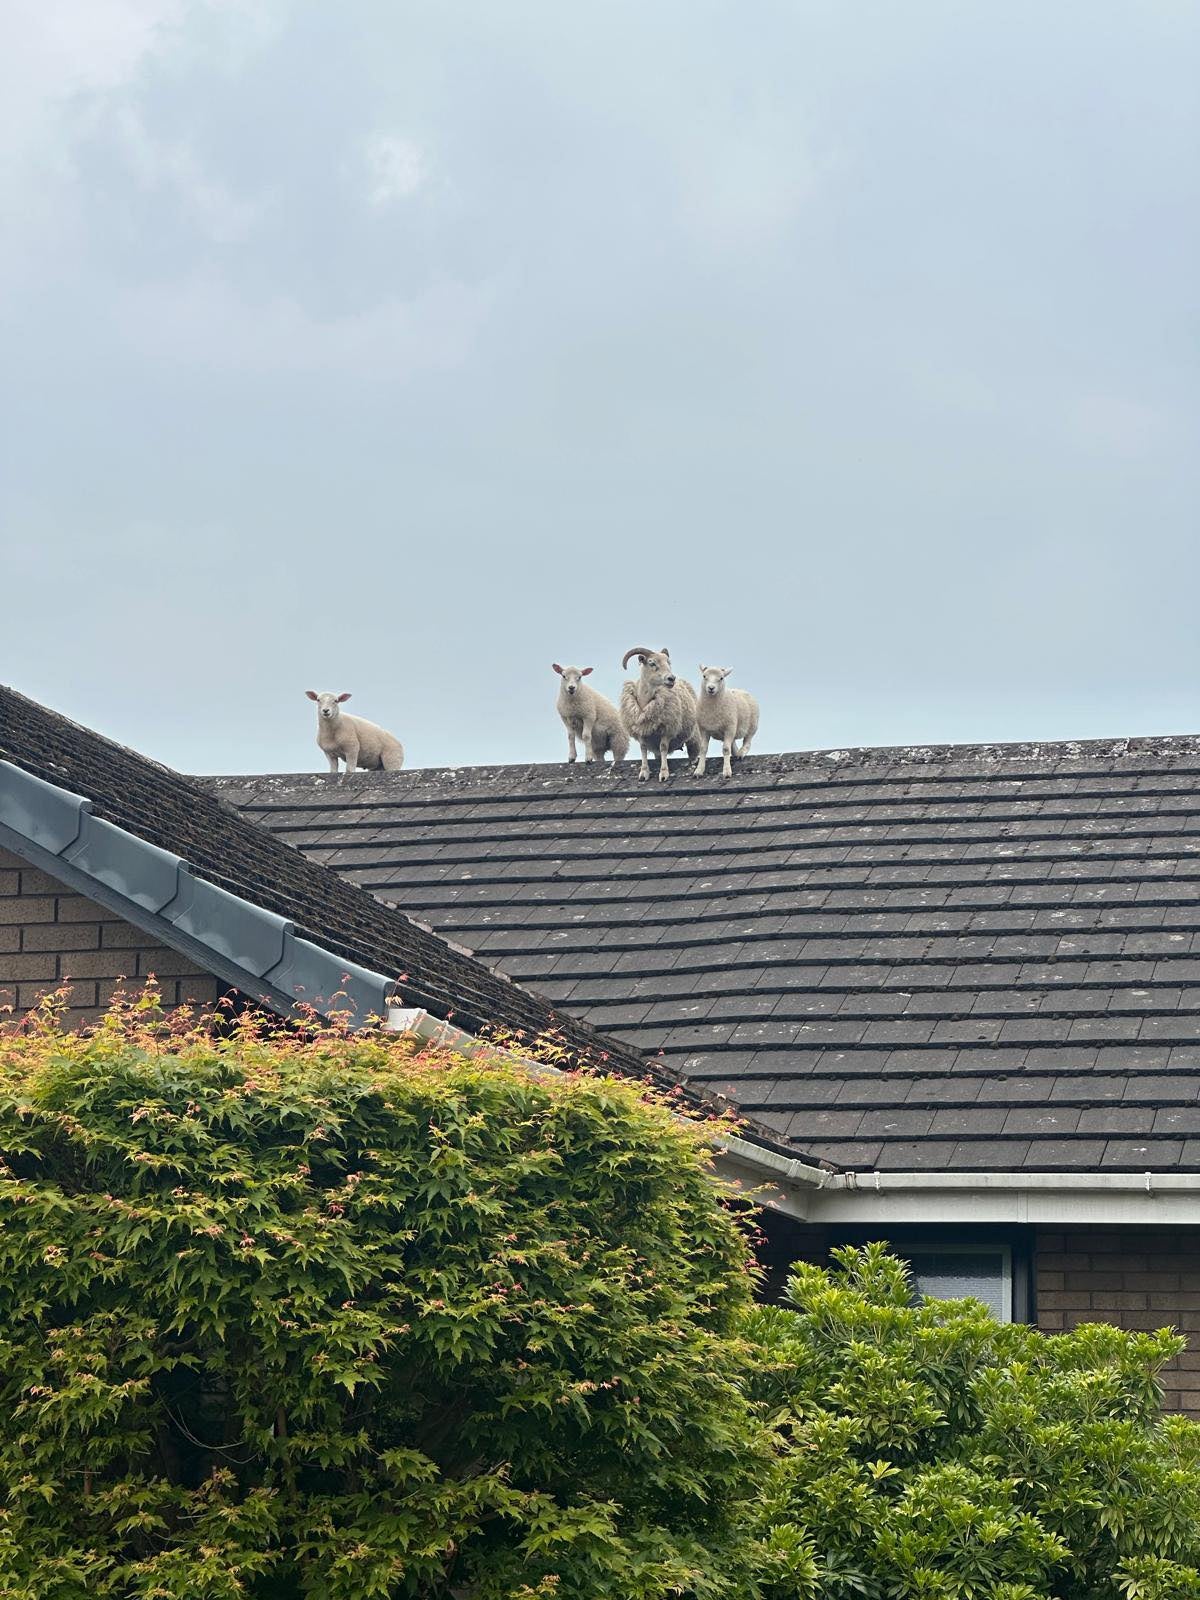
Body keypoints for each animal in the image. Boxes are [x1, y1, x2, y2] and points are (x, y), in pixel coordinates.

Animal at [619, 646, 701, 783]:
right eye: (652, 663)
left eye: (668, 662)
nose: (671, 678)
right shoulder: (641, 730)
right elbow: (643, 748)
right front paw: (644, 773)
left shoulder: (667, 729)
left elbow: (663, 747)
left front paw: (663, 774)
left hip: (693, 736)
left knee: (694, 750)